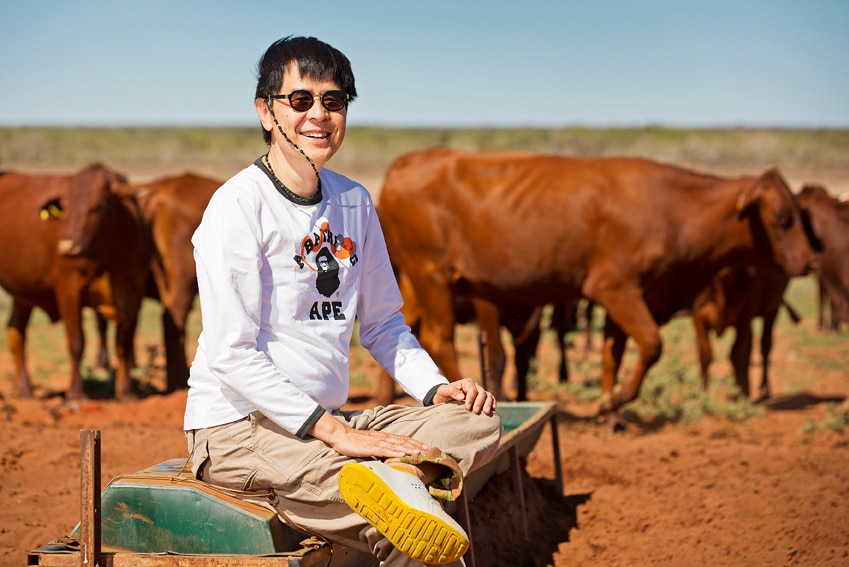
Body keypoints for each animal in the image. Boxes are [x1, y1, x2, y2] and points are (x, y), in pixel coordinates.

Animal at [0, 164, 150, 400]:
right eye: (66, 209)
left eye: (98, 207)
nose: (67, 247)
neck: (107, 256)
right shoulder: (69, 291)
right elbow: (76, 343)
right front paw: (76, 394)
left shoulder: (132, 294)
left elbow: (124, 343)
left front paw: (127, 393)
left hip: (23, 296)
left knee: (16, 332)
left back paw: (25, 391)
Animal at [380, 149, 816, 424]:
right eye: (781, 217)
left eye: (801, 213)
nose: (810, 260)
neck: (672, 208)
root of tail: (407, 161)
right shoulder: (615, 288)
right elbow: (652, 344)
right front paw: (616, 400)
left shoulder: (628, 298)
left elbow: (614, 355)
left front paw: (611, 412)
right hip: (432, 276)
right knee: (440, 339)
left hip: (412, 285)